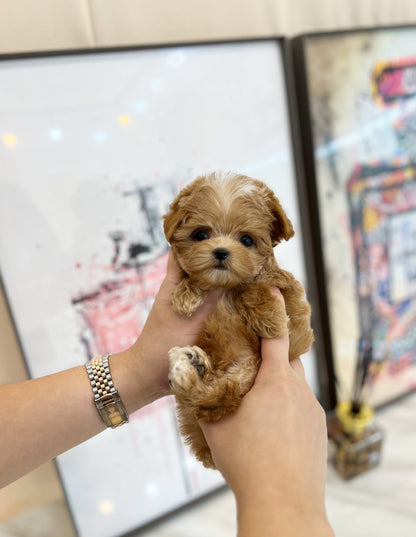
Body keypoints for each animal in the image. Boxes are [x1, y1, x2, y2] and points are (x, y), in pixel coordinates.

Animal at [162, 173, 312, 468]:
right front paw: (186, 294)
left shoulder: (296, 326)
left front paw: (268, 317)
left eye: (247, 240)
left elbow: (257, 283)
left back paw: (191, 369)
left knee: (219, 395)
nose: (221, 252)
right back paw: (192, 367)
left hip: (248, 369)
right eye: (200, 235)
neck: (225, 287)